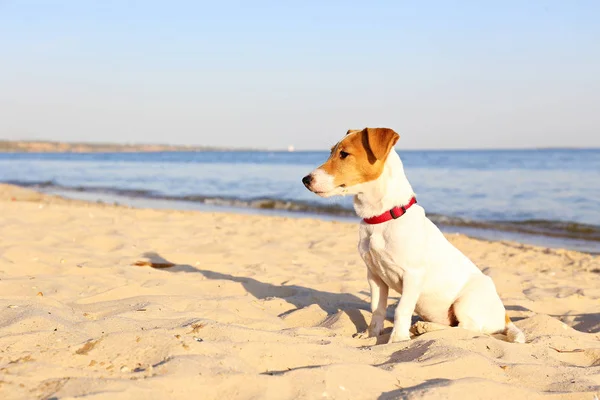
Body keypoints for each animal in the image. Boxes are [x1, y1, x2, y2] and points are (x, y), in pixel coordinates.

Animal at [302, 128, 524, 344]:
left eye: (344, 154)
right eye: (331, 152)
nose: (305, 180)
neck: (382, 218)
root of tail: (505, 316)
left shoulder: (412, 275)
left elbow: (401, 309)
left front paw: (397, 339)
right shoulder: (375, 276)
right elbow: (377, 309)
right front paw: (372, 336)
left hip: (466, 301)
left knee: (467, 328)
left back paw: (426, 328)